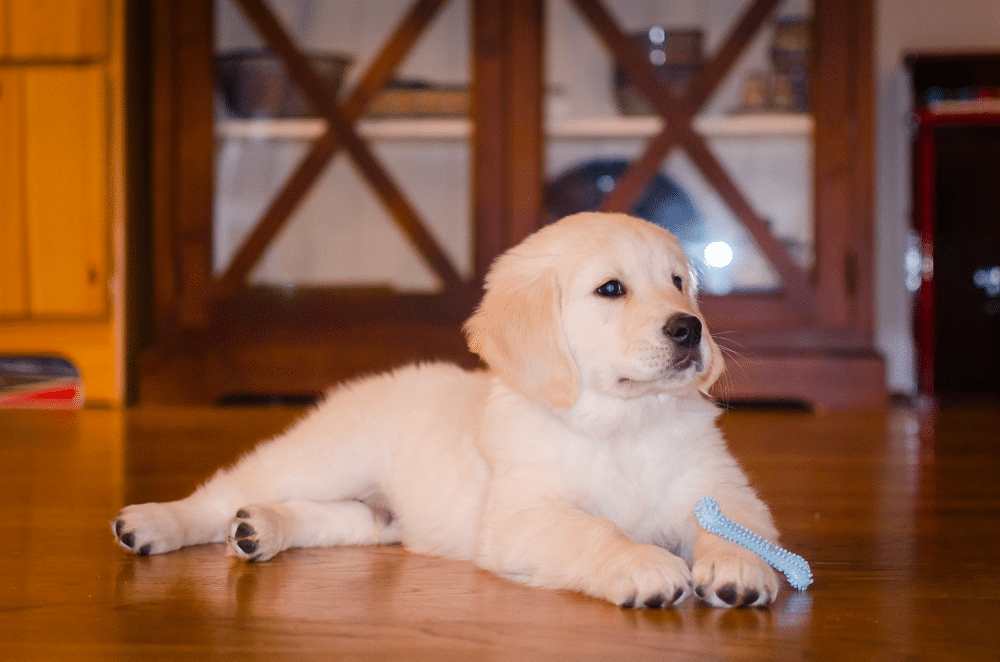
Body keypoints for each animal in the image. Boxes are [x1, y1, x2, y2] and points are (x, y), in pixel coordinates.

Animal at [115, 214, 780, 612]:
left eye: (678, 282)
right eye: (611, 290)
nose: (689, 329)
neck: (622, 423)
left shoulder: (714, 485)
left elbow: (737, 523)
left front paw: (738, 566)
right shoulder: (522, 514)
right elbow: (593, 528)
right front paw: (643, 564)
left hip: (381, 516)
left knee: (337, 517)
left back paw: (259, 530)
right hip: (326, 458)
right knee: (224, 491)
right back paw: (154, 523)